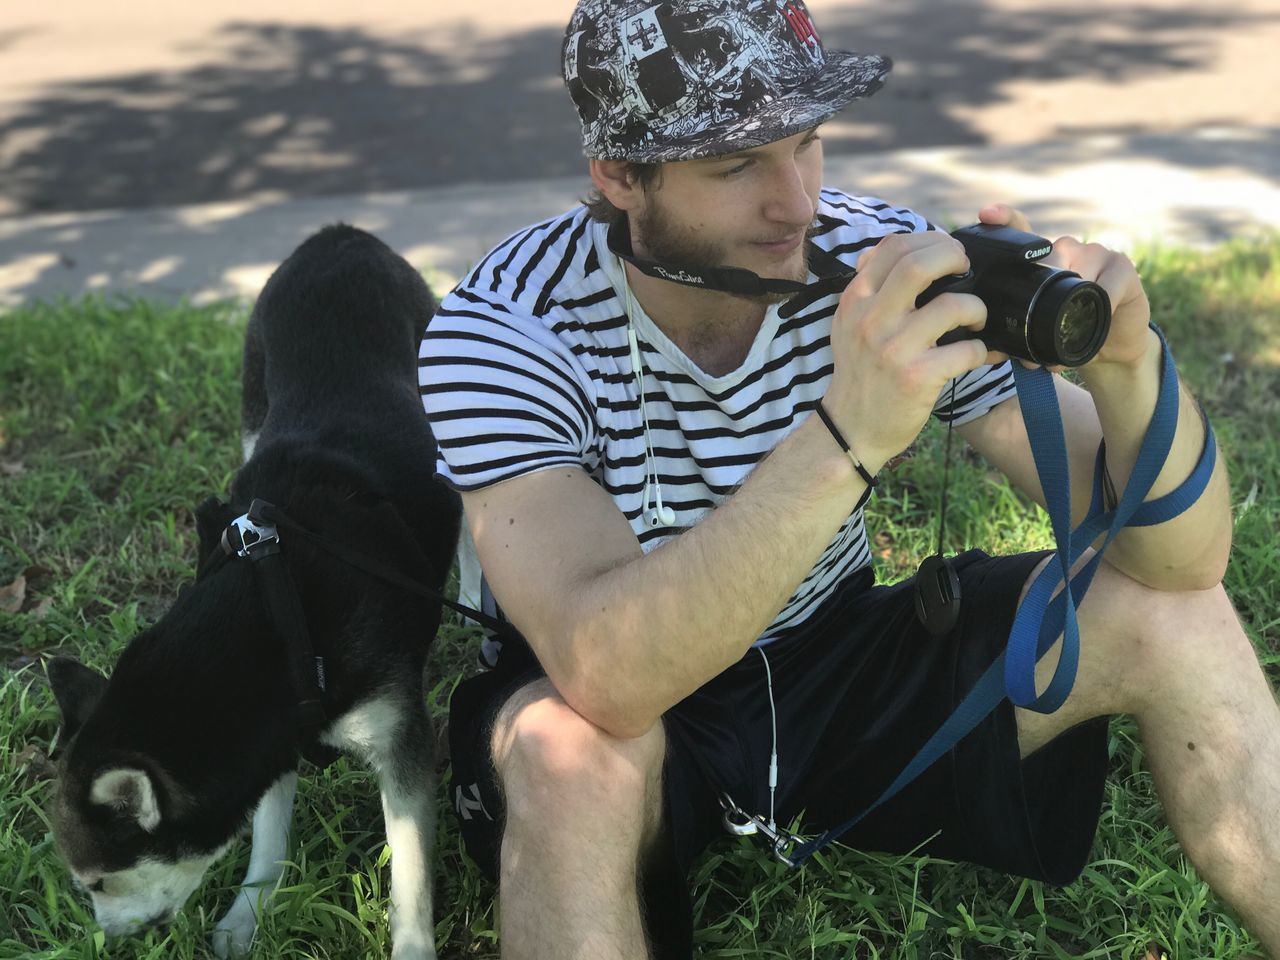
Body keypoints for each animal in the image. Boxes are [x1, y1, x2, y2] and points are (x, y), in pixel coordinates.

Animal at [47, 227, 463, 960]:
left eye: (97, 883)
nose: (110, 940)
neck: (280, 605)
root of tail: (340, 235)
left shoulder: (400, 737)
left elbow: (410, 869)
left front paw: (412, 948)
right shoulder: (274, 731)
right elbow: (268, 829)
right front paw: (251, 910)